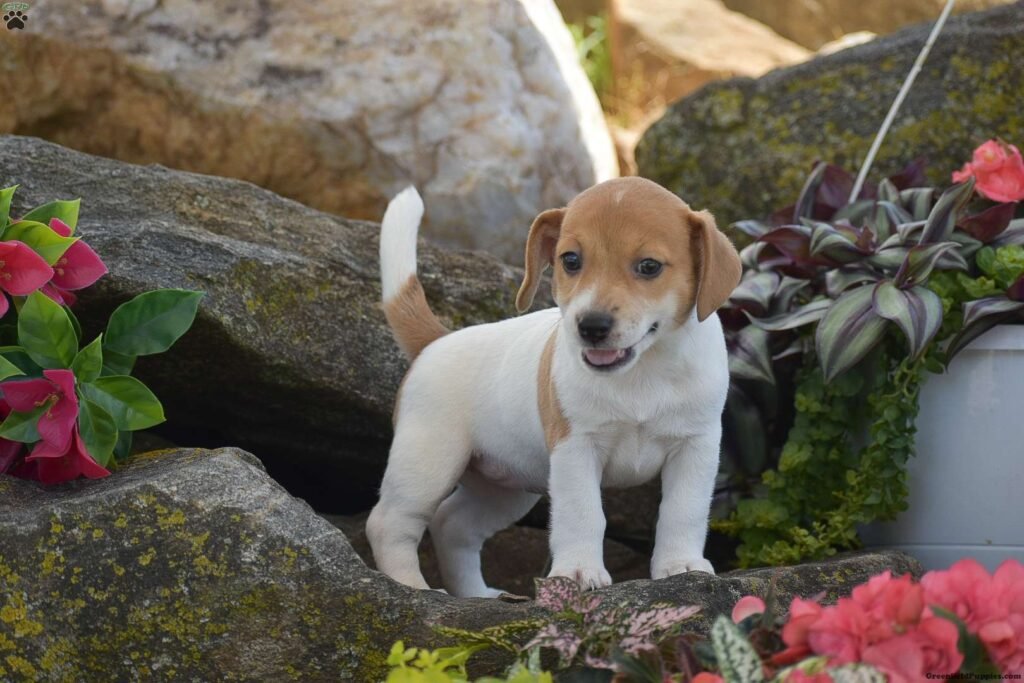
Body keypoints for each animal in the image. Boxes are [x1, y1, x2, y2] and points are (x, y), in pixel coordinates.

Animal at [366, 177, 742, 598]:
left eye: (649, 267)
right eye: (571, 260)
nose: (591, 326)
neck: (643, 371)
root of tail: (437, 340)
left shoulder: (695, 447)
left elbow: (683, 510)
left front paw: (681, 566)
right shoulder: (575, 448)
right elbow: (582, 513)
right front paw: (578, 571)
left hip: (504, 488)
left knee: (452, 525)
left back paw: (479, 595)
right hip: (428, 463)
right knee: (390, 523)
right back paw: (413, 587)